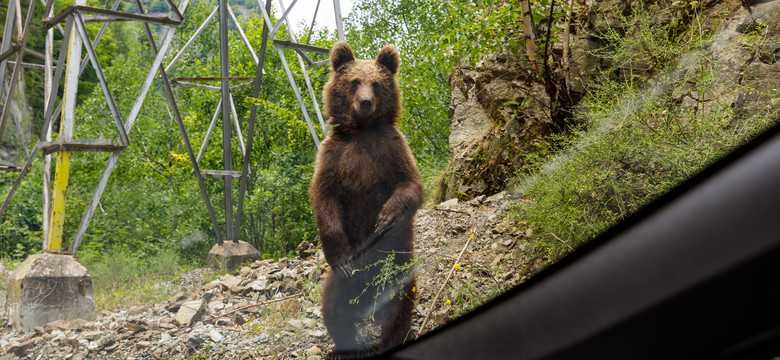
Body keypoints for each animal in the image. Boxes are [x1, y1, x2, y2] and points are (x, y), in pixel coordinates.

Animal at [308, 40, 424, 358]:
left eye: (376, 83)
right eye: (354, 81)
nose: (365, 102)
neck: (362, 131)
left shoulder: (392, 149)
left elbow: (410, 185)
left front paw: (385, 218)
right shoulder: (334, 158)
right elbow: (325, 199)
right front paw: (342, 256)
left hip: (397, 268)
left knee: (399, 306)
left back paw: (392, 338)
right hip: (341, 285)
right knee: (334, 308)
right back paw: (344, 347)